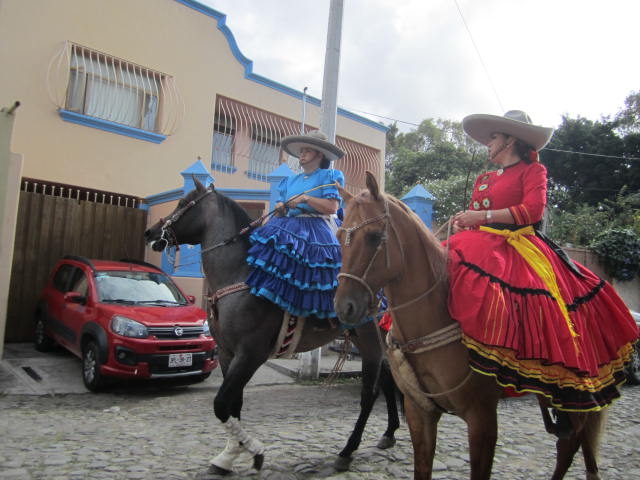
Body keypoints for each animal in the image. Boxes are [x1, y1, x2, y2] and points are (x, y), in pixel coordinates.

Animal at [332, 172, 608, 480]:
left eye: (374, 236)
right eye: (339, 237)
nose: (344, 307)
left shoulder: (482, 419)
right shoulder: (420, 412)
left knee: (570, 444)